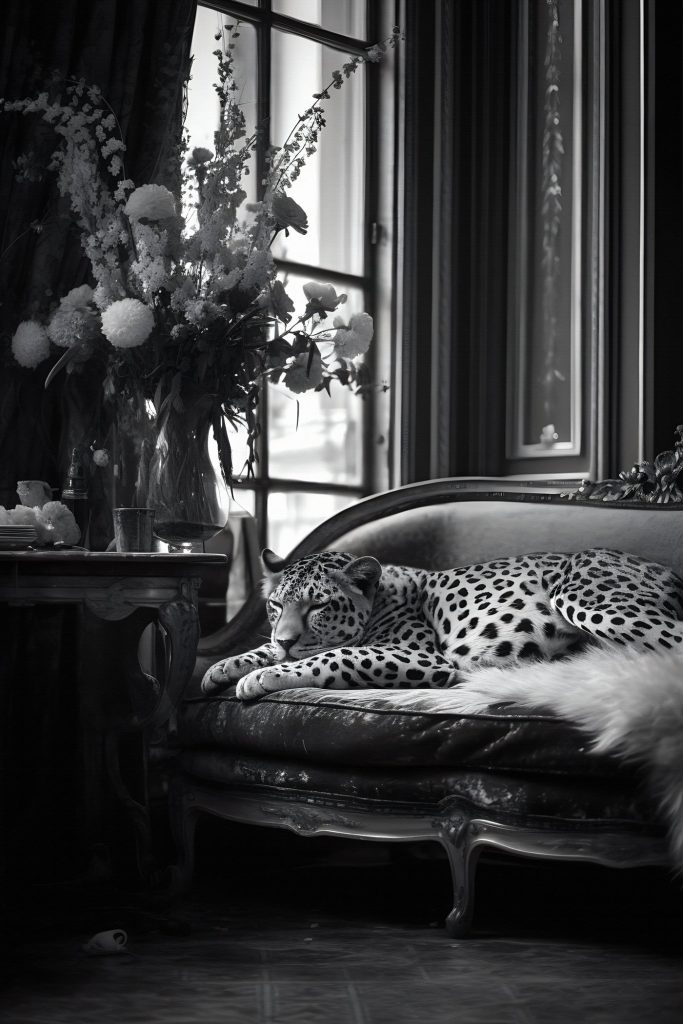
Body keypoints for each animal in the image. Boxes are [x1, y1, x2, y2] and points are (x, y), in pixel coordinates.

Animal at [201, 546, 683, 701]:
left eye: (319, 605)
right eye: (275, 605)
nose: (285, 640)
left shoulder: (422, 657)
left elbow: (336, 654)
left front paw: (262, 676)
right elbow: (270, 647)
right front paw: (223, 667)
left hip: (584, 596)